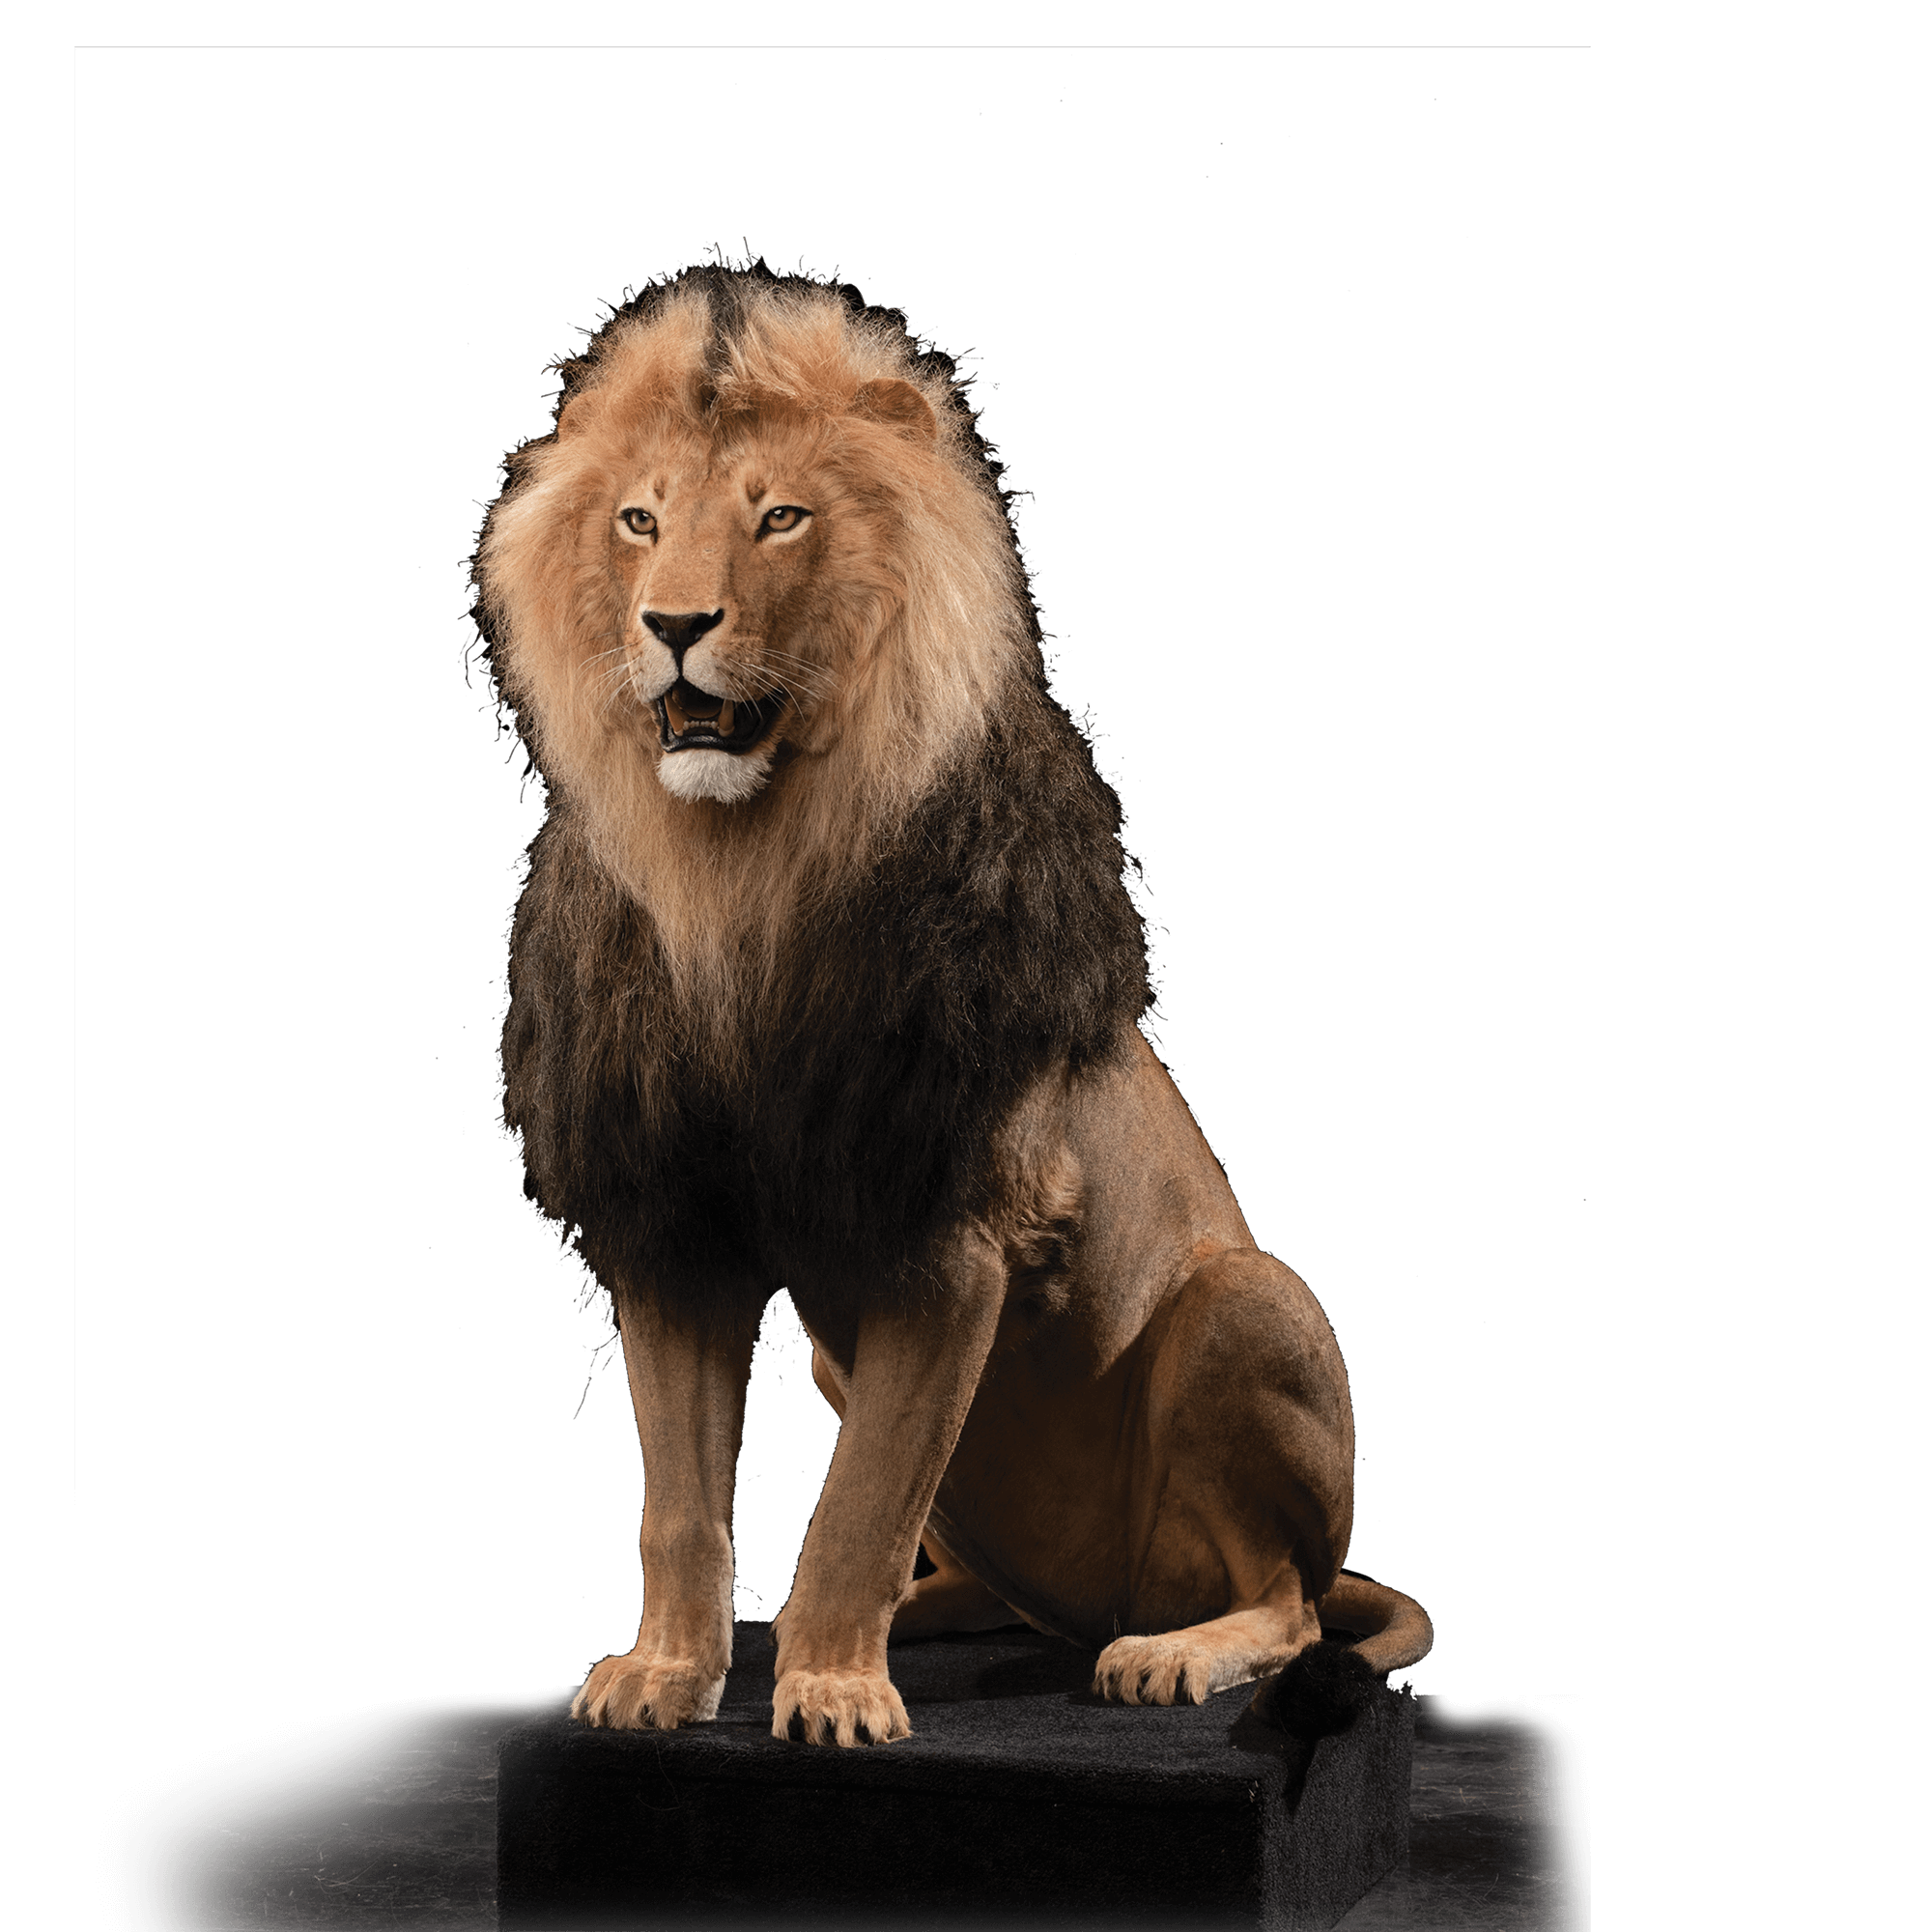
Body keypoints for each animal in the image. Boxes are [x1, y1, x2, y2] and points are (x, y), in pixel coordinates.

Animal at [475, 266, 1432, 1750]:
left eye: (779, 518)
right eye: (639, 521)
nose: (673, 628)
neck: (740, 874)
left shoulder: (957, 1229)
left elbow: (861, 1502)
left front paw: (829, 1688)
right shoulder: (674, 1219)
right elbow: (682, 1508)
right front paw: (668, 1669)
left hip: (1248, 1307)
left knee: (1287, 1600)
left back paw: (1168, 1652)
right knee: (1007, 1583)